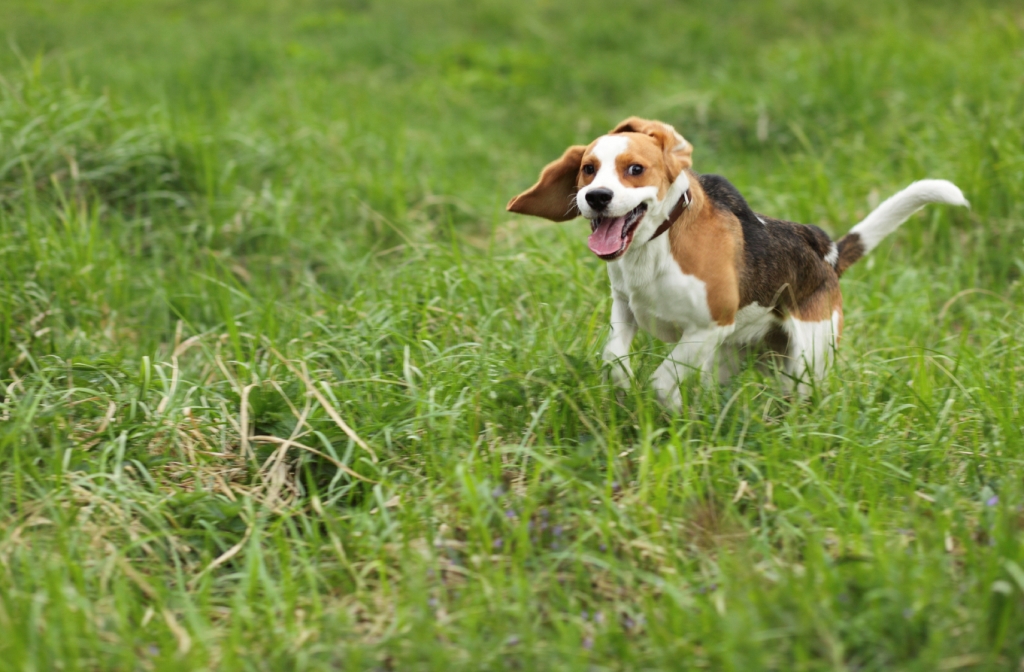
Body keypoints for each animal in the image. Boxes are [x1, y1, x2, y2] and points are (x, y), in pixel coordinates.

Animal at [509, 116, 966, 409]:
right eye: (588, 170)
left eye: (634, 169)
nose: (596, 197)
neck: (654, 246)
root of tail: (826, 255)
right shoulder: (625, 308)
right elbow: (614, 358)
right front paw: (626, 389)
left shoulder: (709, 327)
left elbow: (663, 378)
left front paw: (669, 409)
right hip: (734, 356)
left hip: (806, 362)